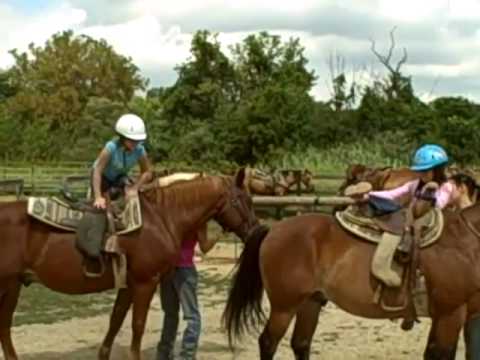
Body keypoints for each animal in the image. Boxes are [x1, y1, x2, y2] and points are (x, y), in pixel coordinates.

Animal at [0, 169, 262, 360]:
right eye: (242, 200)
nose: (255, 230)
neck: (161, 217)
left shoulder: (128, 284)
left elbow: (115, 320)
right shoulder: (146, 283)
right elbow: (137, 325)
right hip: (9, 285)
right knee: (5, 326)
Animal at [222, 202, 480, 360]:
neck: (466, 240)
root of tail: (274, 229)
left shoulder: (456, 316)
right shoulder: (451, 314)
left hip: (310, 303)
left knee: (301, 343)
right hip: (284, 307)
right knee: (268, 343)